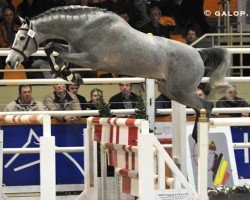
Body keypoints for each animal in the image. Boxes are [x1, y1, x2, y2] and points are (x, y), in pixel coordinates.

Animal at [5, 5, 230, 141]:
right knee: (199, 107)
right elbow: (52, 47)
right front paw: (66, 74)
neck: (83, 27)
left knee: (206, 106)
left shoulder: (90, 59)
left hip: (180, 91)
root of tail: (198, 53)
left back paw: (198, 136)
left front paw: (68, 74)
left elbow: (60, 56)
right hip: (170, 89)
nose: (9, 61)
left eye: (22, 38)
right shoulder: (73, 49)